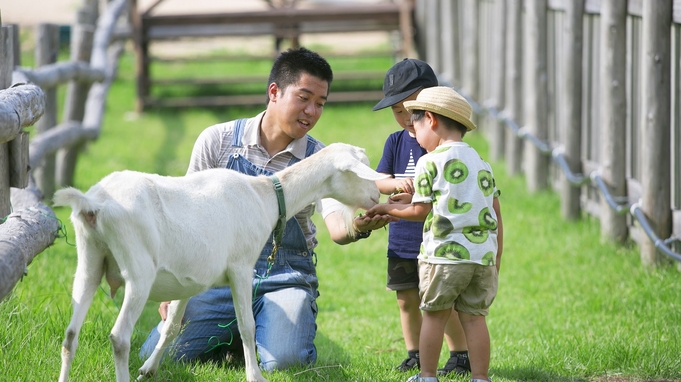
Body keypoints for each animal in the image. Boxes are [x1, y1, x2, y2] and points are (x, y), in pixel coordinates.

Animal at [51, 143, 388, 382]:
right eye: (360, 169)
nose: (376, 198)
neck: (265, 195)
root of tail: (94, 204)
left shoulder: (188, 281)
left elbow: (172, 327)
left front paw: (148, 369)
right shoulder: (241, 267)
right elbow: (247, 326)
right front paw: (256, 376)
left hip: (90, 262)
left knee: (70, 335)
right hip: (138, 271)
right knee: (119, 337)